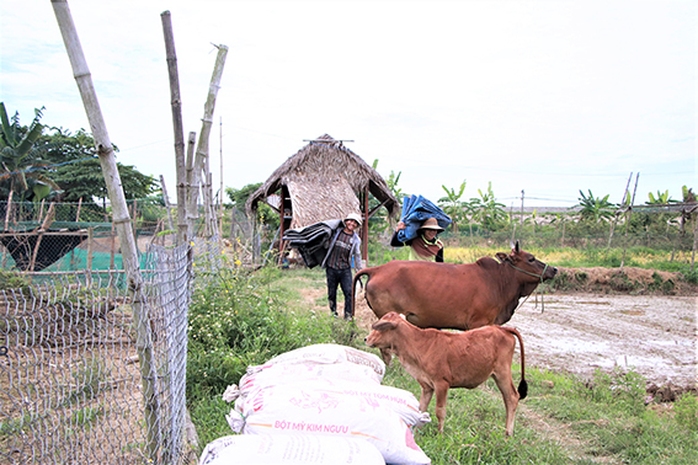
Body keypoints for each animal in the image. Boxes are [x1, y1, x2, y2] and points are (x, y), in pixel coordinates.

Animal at [368, 312, 524, 436]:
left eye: (380, 327)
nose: (366, 339)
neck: (420, 345)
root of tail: (501, 328)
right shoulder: (427, 386)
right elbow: (421, 409)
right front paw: (416, 432)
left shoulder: (441, 383)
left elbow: (440, 411)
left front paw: (440, 433)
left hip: (502, 373)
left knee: (512, 397)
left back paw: (508, 433)